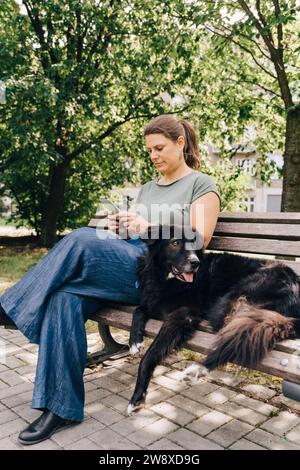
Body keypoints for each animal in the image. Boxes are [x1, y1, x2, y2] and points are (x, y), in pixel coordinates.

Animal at [127, 226, 300, 414]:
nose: (195, 263)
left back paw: (198, 369)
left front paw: (137, 396)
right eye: (175, 242)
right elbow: (138, 310)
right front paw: (134, 341)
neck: (166, 279)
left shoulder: (185, 313)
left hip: (227, 306)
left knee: (236, 339)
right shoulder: (153, 303)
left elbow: (153, 351)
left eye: (194, 243)